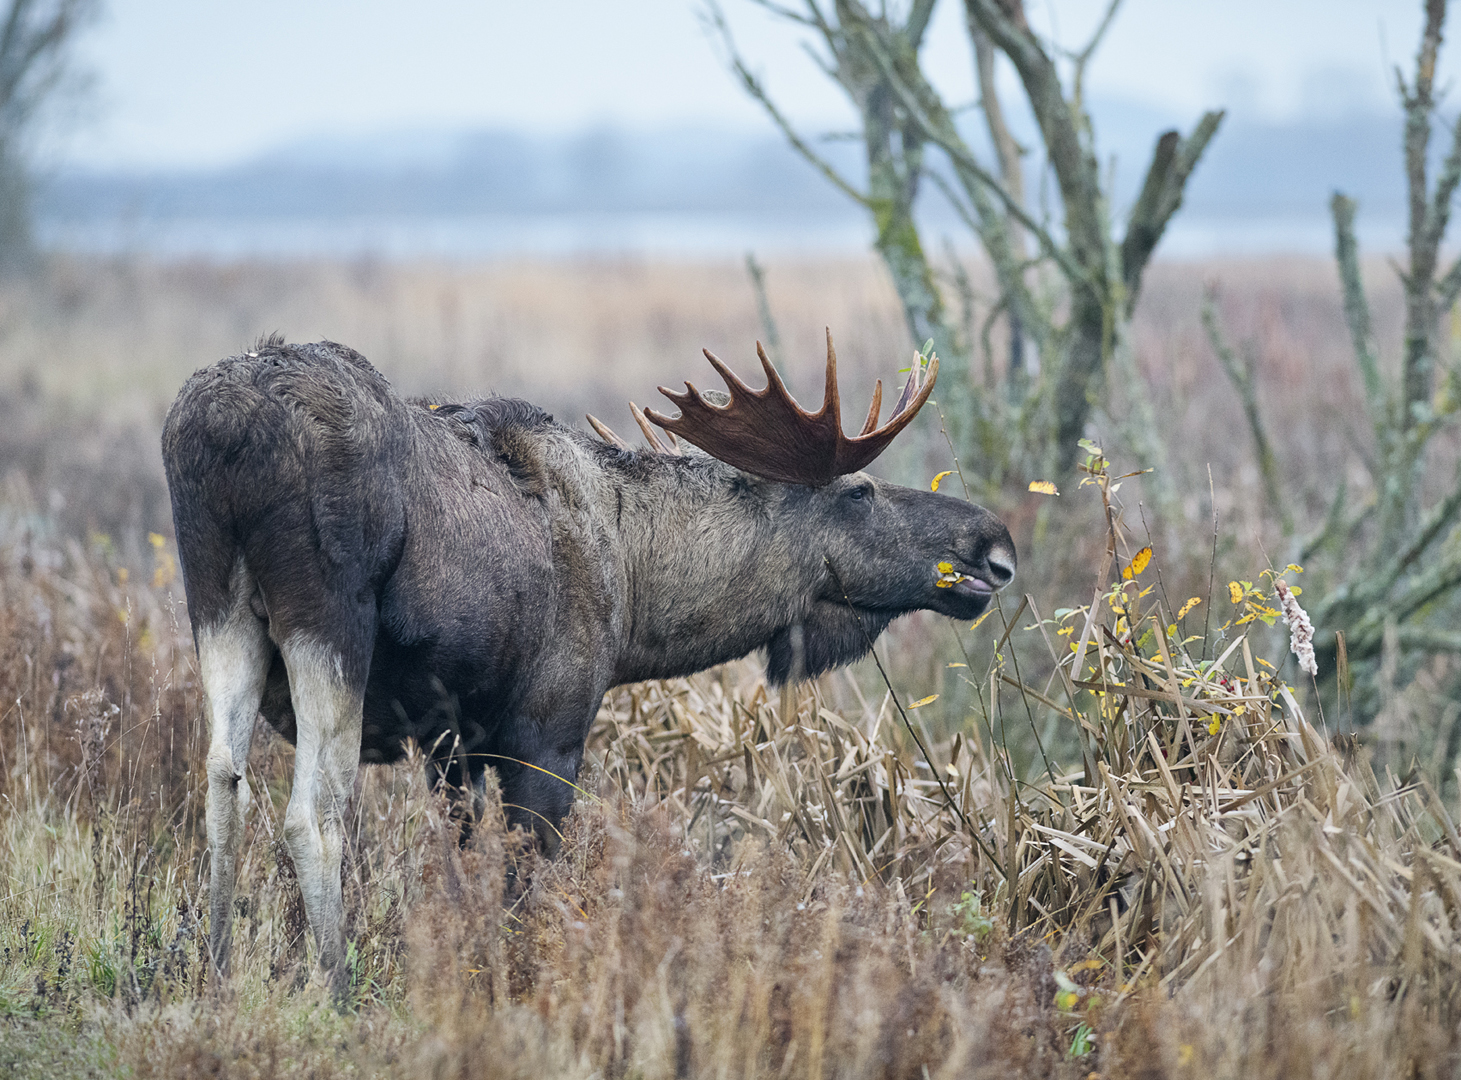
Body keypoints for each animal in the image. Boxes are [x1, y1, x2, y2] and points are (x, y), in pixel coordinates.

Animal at [157, 336, 1005, 987]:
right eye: (857, 491)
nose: (990, 542)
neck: (635, 589)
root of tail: (221, 432)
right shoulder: (548, 730)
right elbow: (525, 881)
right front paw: (517, 977)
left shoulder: (451, 744)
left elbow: (463, 864)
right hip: (331, 618)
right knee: (313, 812)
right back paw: (332, 983)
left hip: (219, 605)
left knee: (221, 779)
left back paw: (218, 970)